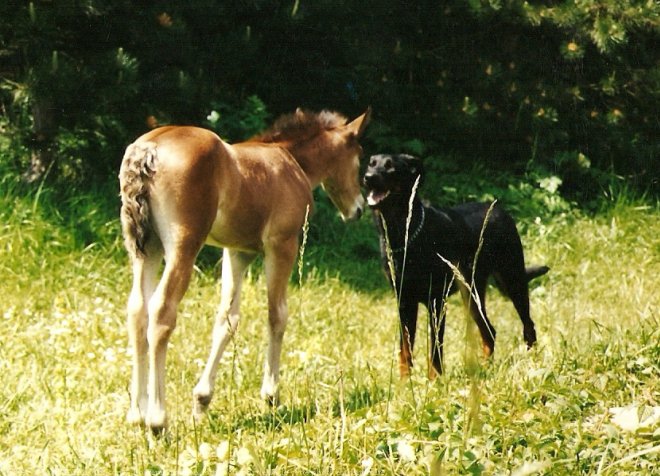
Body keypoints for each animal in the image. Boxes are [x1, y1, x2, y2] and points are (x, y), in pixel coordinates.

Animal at [119, 109, 372, 432]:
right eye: (359, 156)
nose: (358, 209)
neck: (292, 161)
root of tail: (150, 148)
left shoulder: (237, 252)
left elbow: (227, 319)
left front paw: (202, 400)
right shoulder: (282, 244)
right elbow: (277, 314)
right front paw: (271, 394)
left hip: (146, 249)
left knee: (137, 310)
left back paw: (136, 414)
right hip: (182, 246)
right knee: (161, 312)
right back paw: (157, 420)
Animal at [364, 154, 548, 378]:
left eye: (390, 167)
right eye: (371, 163)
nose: (367, 178)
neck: (404, 233)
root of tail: (499, 209)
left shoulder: (436, 300)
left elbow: (435, 347)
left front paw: (434, 380)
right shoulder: (404, 301)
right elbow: (405, 348)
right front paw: (404, 382)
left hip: (512, 280)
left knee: (528, 326)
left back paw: (531, 363)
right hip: (471, 294)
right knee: (490, 331)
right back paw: (485, 368)